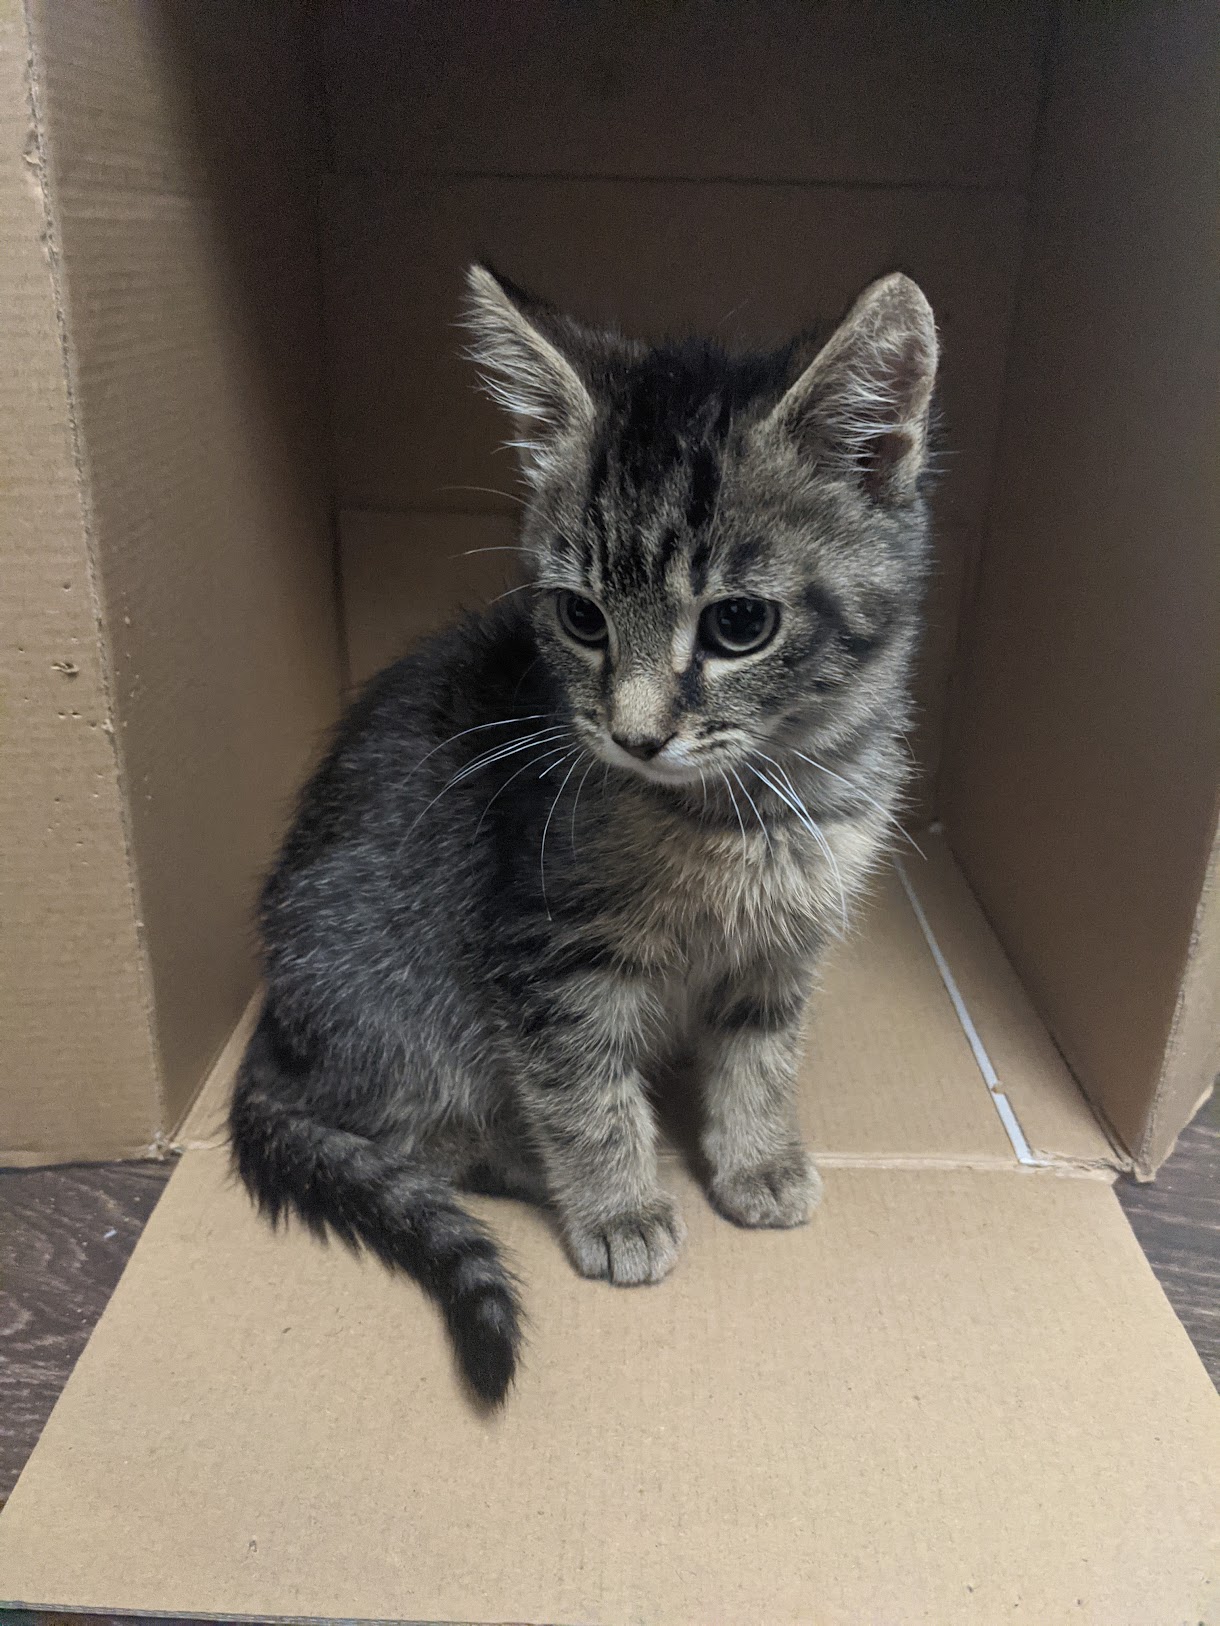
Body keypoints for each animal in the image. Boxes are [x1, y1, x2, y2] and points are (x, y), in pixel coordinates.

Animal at [229, 264, 938, 1404]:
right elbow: (579, 1080)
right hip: (396, 995)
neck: (750, 806)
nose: (635, 734)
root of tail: (278, 1032)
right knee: (419, 1137)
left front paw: (755, 1156)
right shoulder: (545, 950)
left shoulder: (788, 942)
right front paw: (618, 1201)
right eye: (579, 617)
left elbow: (761, 1050)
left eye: (739, 624)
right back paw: (533, 1161)